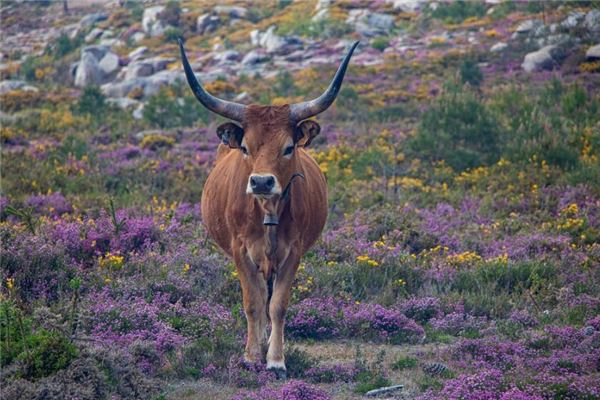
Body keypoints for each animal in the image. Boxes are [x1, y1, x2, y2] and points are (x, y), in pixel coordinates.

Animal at [177, 38, 356, 378]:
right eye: (246, 147)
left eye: (288, 147)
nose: (261, 181)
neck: (268, 211)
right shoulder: (240, 249)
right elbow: (252, 302)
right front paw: (250, 356)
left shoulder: (293, 251)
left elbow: (278, 305)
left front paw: (275, 360)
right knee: (260, 294)